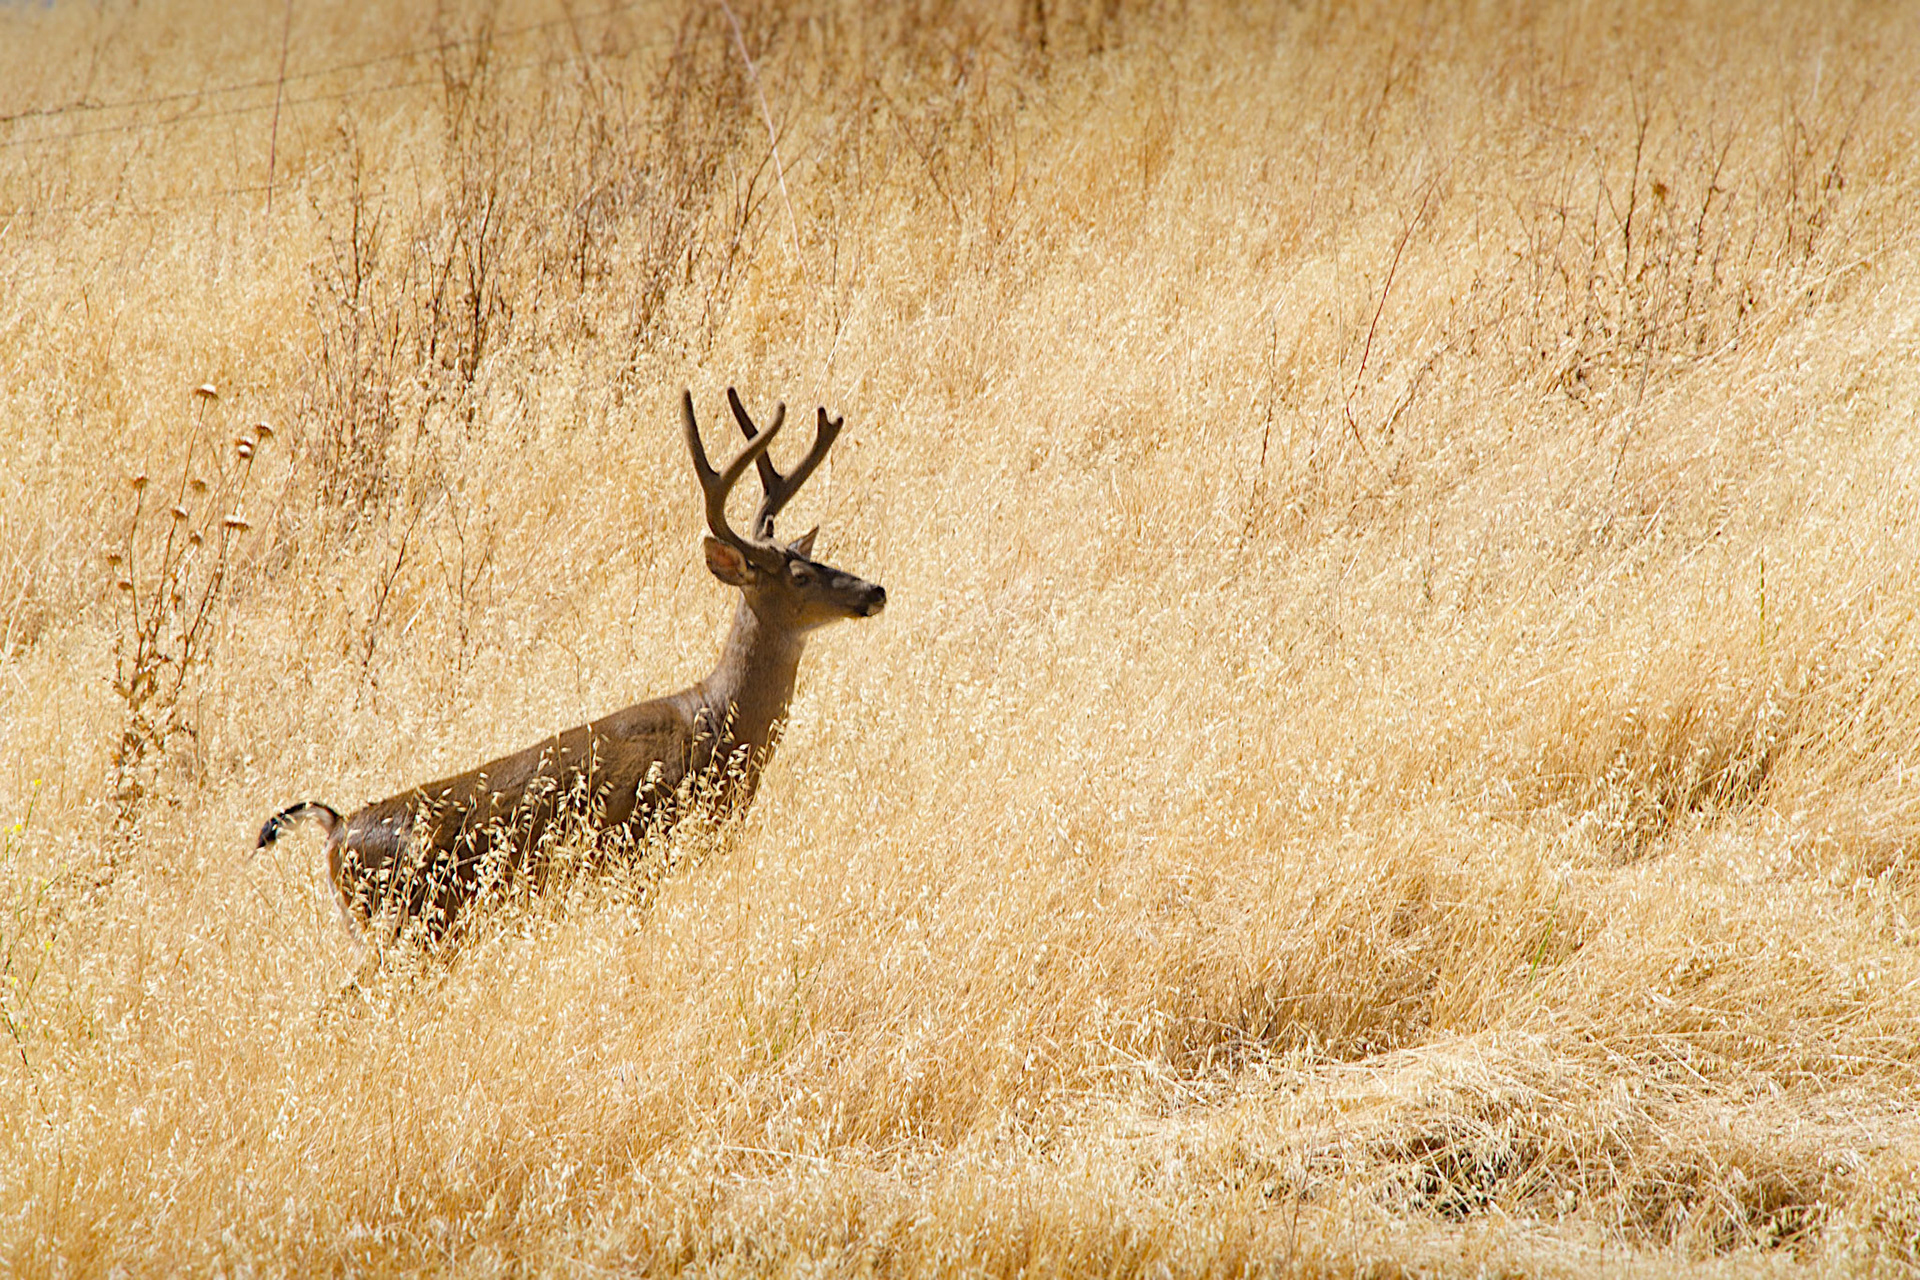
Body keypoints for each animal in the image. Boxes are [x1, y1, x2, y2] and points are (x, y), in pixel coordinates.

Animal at [256, 388, 886, 945]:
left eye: (813, 555)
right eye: (799, 576)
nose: (874, 591)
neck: (715, 725)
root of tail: (335, 828)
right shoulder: (641, 851)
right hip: (411, 923)